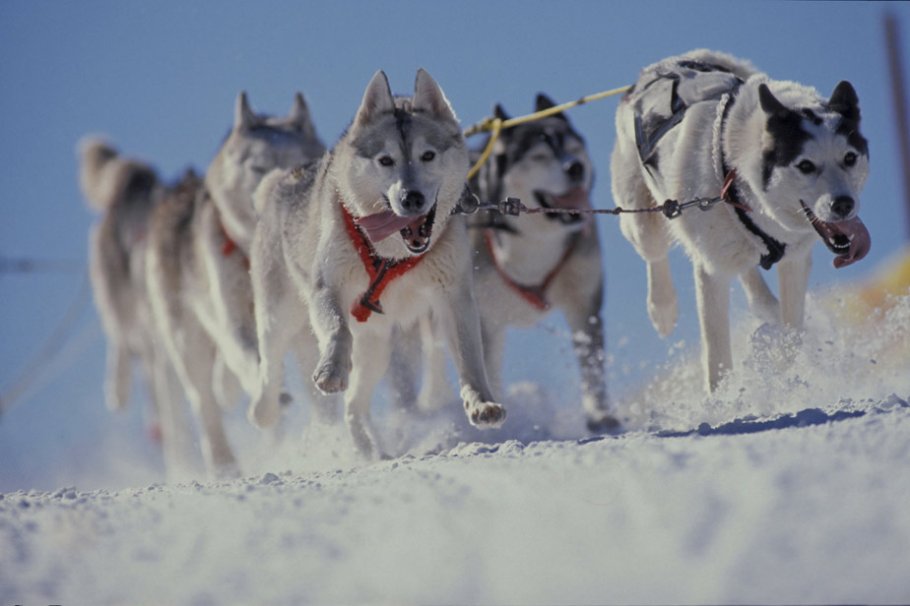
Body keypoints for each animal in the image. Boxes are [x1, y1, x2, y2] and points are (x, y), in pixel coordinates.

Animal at [146, 92, 324, 478]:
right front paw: (267, 395)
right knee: (206, 405)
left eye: (299, 165)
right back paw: (224, 464)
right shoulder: (232, 322)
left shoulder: (305, 334)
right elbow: (250, 363)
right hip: (188, 346)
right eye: (257, 167)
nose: (275, 197)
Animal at [249, 69, 506, 458]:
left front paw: (481, 403)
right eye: (386, 160)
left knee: (354, 405)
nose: (411, 197)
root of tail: (281, 182)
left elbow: (469, 357)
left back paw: (370, 450)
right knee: (270, 364)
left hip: (377, 348)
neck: (391, 253)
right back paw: (264, 410)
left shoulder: (454, 297)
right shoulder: (328, 287)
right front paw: (331, 370)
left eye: (428, 155)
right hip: (280, 315)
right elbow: (337, 330)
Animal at [470, 96, 620, 432]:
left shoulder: (584, 304)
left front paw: (600, 414)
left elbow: (591, 363)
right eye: (539, 156)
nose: (575, 167)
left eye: (573, 149)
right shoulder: (484, 319)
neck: (534, 243)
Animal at [616, 51, 872, 394]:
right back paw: (663, 307)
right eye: (805, 165)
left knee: (751, 275)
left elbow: (793, 331)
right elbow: (717, 356)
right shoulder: (711, 272)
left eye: (849, 158)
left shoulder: (795, 260)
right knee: (655, 254)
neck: (732, 170)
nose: (843, 204)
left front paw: (783, 367)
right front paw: (723, 399)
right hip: (643, 222)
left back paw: (766, 305)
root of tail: (663, 65)